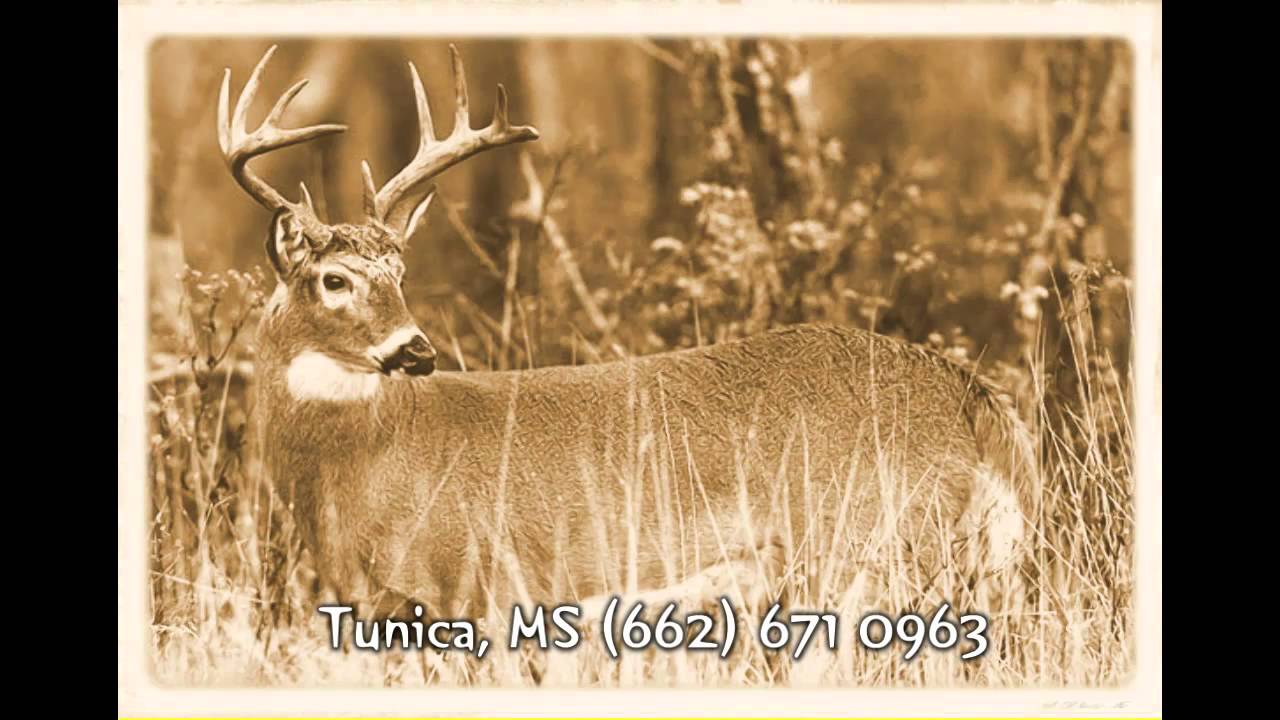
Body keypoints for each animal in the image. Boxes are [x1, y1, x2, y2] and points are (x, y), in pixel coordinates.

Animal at [218, 44, 1039, 681]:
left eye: (398, 274)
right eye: (336, 279)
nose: (414, 350)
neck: (362, 464)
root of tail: (974, 399)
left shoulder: (477, 586)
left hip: (862, 547)